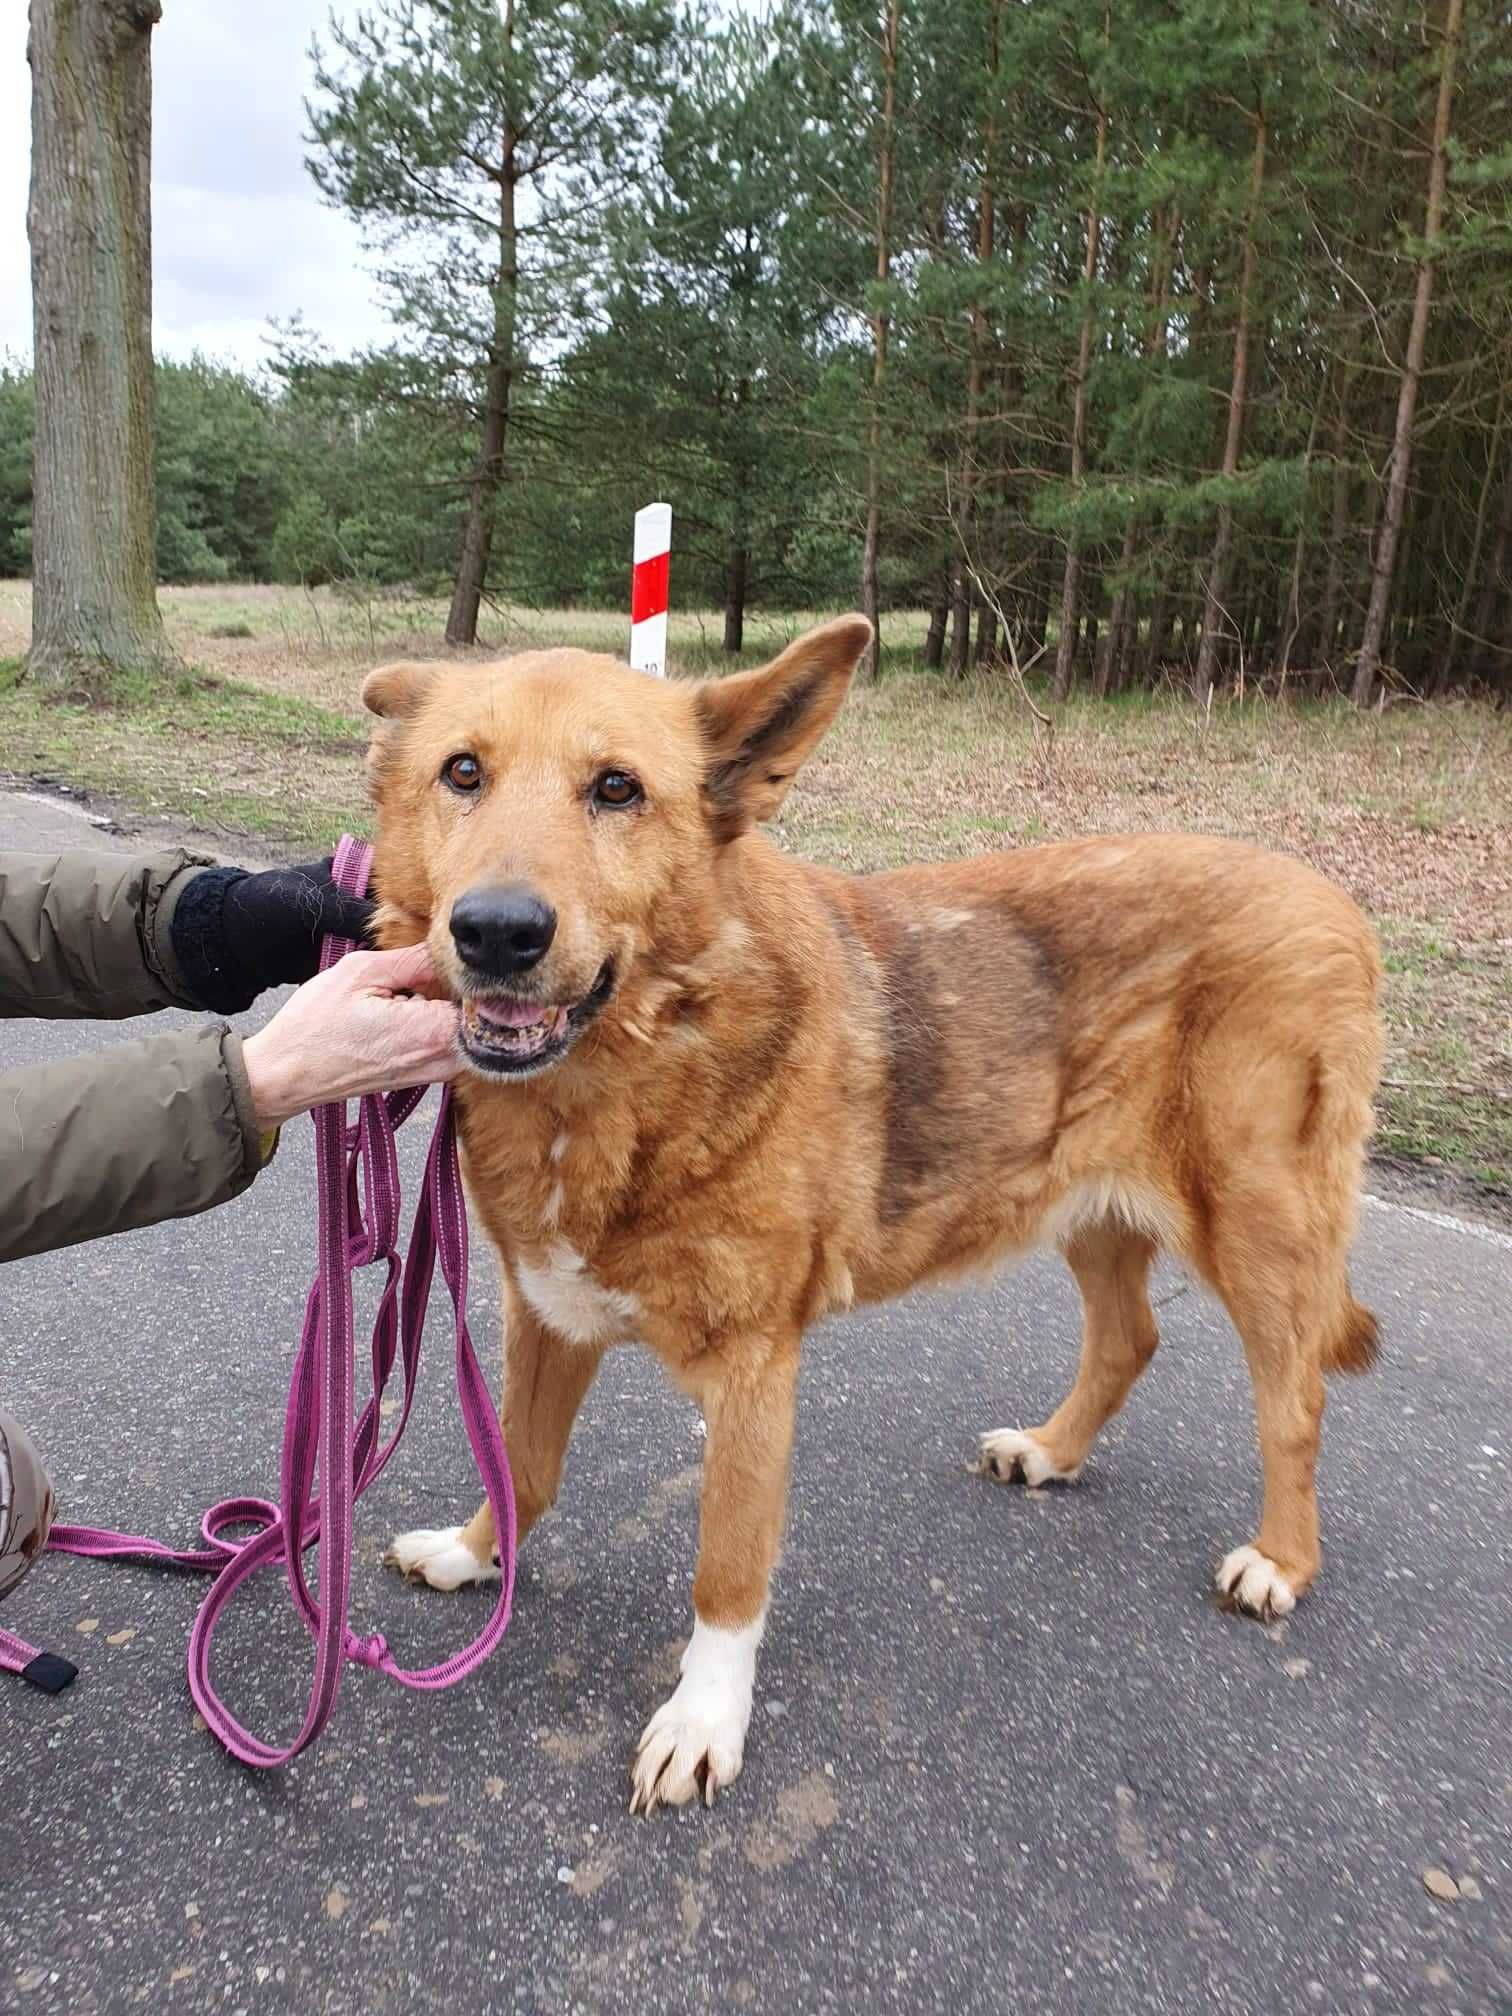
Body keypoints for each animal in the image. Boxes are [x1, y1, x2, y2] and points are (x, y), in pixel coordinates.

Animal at [364, 608, 1387, 1814]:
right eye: (461, 773)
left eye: (617, 789)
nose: (496, 932)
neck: (621, 1074)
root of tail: (1336, 904)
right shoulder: (548, 1317)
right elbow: (520, 1468)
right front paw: (477, 1555)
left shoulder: (754, 1370)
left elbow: (727, 1572)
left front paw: (704, 1720)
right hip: (1082, 1206)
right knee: (1130, 1337)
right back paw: (1052, 1451)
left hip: (1255, 1230)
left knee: (1295, 1399)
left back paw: (1281, 1560)